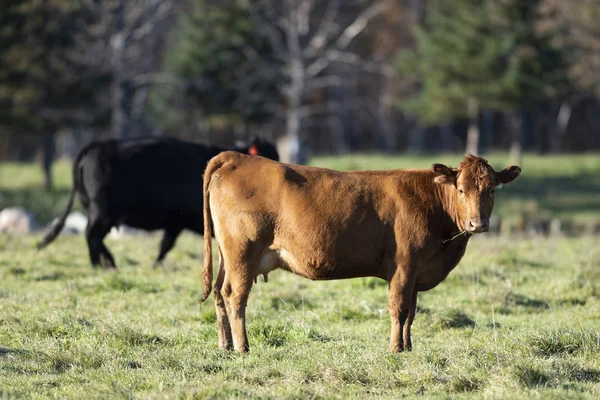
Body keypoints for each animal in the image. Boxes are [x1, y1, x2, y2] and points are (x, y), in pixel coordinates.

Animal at [37, 136, 278, 268]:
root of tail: (99, 145)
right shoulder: (179, 222)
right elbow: (166, 245)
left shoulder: (175, 223)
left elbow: (164, 245)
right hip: (102, 211)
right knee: (92, 235)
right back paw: (98, 265)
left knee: (95, 237)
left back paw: (109, 263)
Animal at [202, 153, 520, 354]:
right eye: (462, 190)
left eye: (492, 190)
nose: (478, 223)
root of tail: (236, 157)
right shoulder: (403, 267)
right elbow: (399, 308)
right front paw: (395, 349)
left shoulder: (416, 273)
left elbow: (411, 313)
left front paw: (408, 347)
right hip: (242, 253)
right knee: (235, 296)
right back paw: (242, 347)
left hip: (226, 256)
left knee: (219, 292)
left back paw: (225, 345)